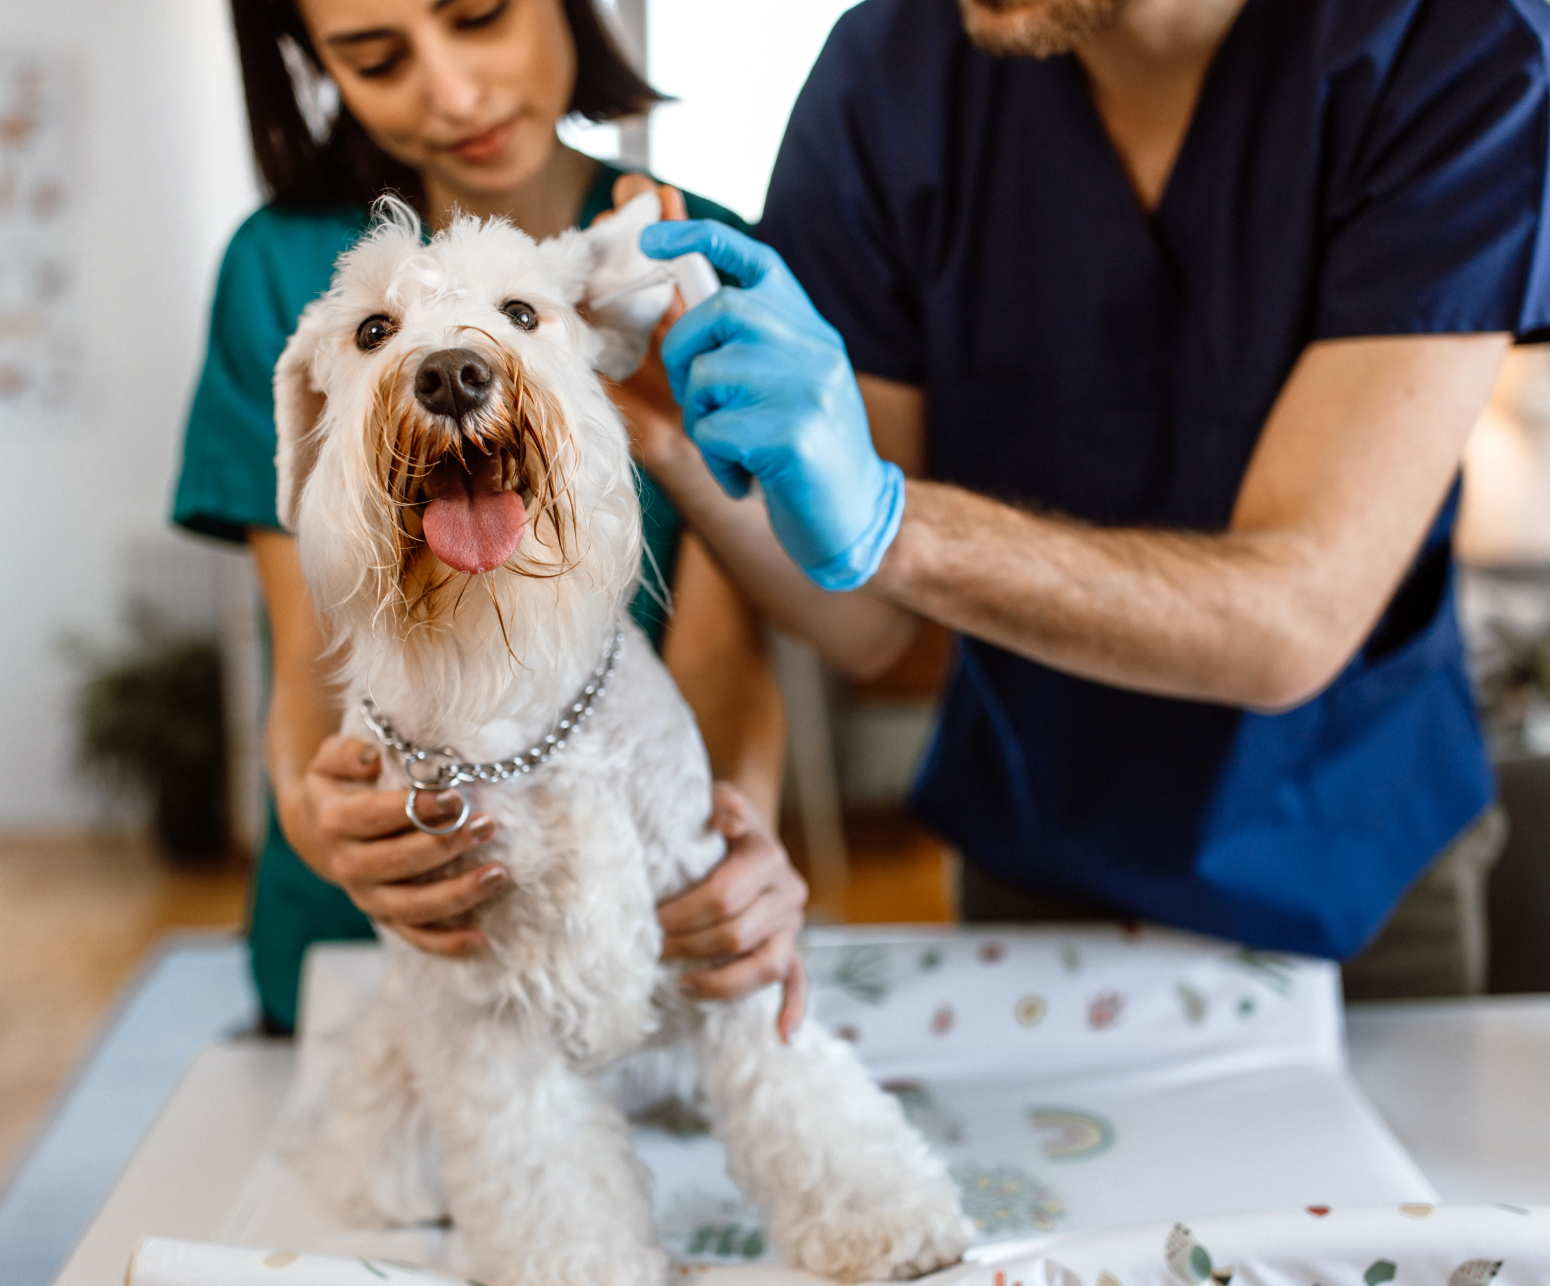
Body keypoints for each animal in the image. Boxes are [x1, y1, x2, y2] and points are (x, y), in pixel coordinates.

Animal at [269, 198, 967, 1286]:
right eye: (373, 330)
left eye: (522, 312)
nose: (453, 374)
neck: (519, 717)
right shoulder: (483, 1016)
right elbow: (547, 1177)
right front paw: (586, 1260)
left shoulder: (722, 933)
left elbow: (803, 1094)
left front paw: (885, 1212)